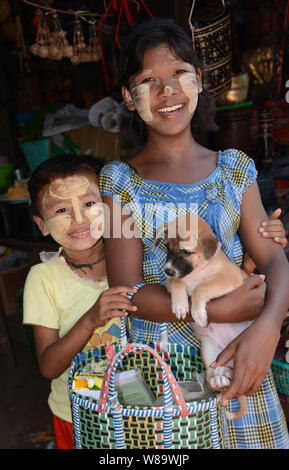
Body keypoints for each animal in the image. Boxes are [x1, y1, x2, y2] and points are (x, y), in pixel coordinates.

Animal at [155, 213, 260, 422]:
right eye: (167, 247)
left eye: (185, 252)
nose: (167, 270)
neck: (198, 270)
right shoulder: (172, 281)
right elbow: (177, 283)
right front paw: (180, 305)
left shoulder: (228, 278)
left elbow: (201, 288)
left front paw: (198, 313)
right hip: (210, 351)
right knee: (215, 381)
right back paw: (220, 377)